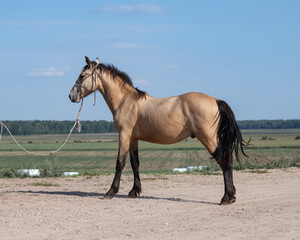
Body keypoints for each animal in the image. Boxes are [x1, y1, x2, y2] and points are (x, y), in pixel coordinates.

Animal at [69, 56, 248, 204]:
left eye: (82, 76)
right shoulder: (133, 139)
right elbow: (135, 164)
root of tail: (216, 100)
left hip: (208, 138)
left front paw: (110, 192)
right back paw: (230, 196)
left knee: (224, 161)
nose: (71, 96)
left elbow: (120, 163)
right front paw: (134, 191)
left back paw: (227, 197)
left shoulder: (124, 136)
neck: (126, 101)